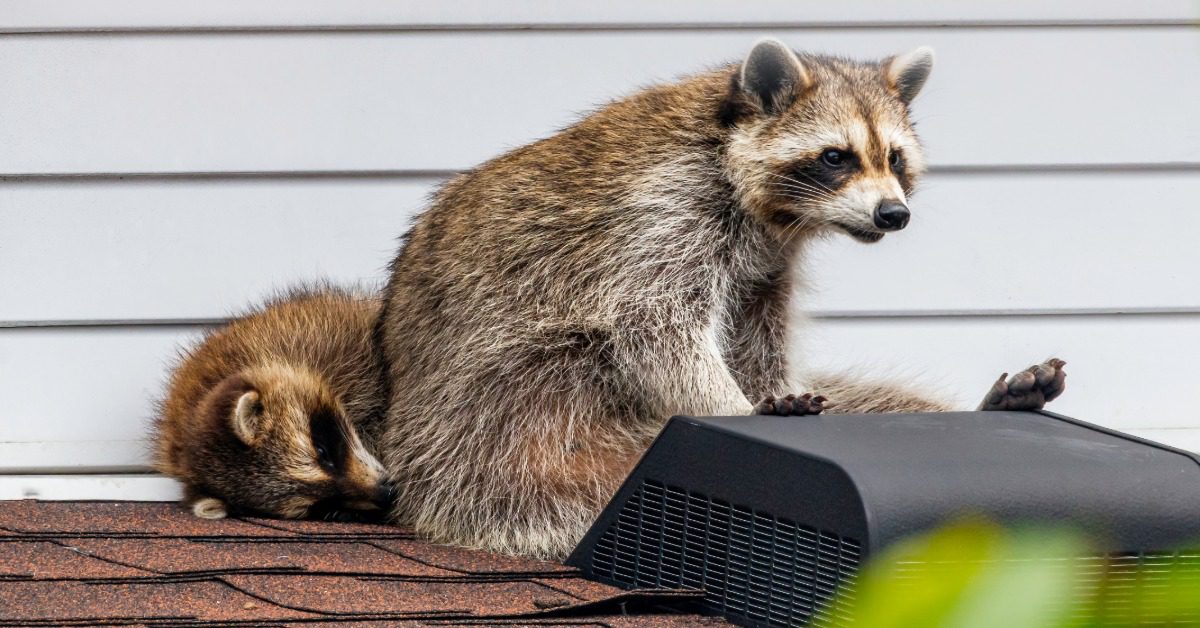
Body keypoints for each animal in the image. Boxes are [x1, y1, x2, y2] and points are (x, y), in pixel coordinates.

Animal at [376, 40, 1065, 558]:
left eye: (894, 158)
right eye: (836, 157)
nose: (893, 214)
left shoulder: (767, 264)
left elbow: (757, 341)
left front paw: (769, 393)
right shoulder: (660, 214)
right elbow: (652, 325)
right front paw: (735, 409)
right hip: (504, 437)